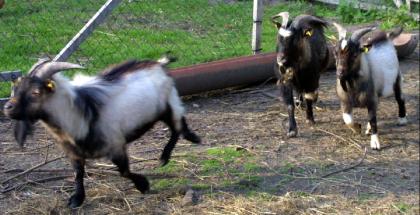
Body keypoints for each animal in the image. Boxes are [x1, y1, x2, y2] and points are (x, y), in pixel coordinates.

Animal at [2, 56, 200, 207]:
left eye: (36, 92)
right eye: (15, 88)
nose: (7, 107)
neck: (79, 114)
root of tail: (159, 63)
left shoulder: (116, 145)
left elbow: (124, 171)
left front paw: (143, 185)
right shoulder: (73, 153)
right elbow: (78, 174)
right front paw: (76, 200)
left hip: (168, 105)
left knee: (177, 126)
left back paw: (167, 156)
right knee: (180, 124)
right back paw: (191, 138)